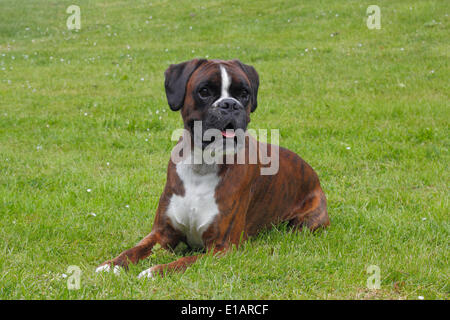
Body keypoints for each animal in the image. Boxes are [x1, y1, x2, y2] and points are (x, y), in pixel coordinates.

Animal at [96, 59, 330, 278]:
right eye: (205, 91)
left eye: (243, 94)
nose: (230, 104)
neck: (202, 166)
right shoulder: (161, 233)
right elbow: (134, 249)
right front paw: (112, 265)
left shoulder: (221, 248)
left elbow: (184, 262)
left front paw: (154, 271)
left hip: (304, 224)